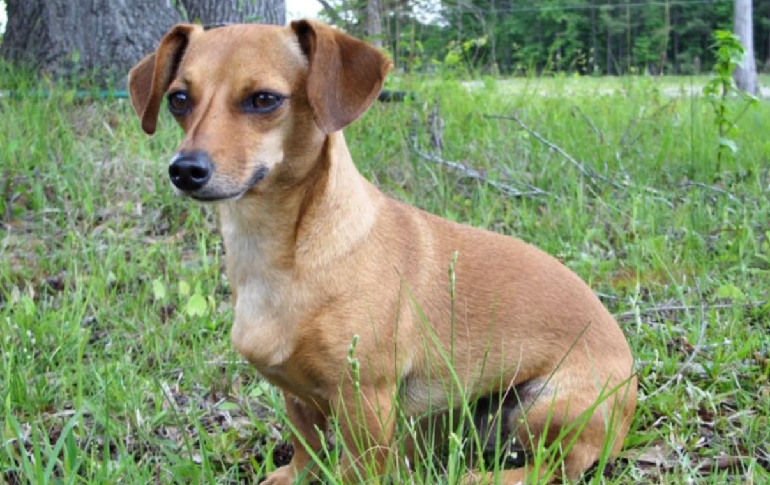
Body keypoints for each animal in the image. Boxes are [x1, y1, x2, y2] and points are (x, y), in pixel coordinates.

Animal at [129, 19, 636, 484]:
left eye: (264, 99)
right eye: (178, 99)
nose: (184, 169)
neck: (281, 253)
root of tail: (631, 384)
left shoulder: (366, 399)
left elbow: (360, 467)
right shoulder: (297, 397)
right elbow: (307, 447)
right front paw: (294, 475)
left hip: (544, 405)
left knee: (554, 466)